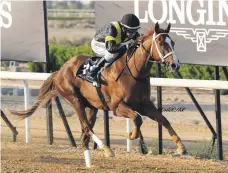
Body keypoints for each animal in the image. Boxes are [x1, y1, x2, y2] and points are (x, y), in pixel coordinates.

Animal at [9, 22, 186, 156]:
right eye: (161, 43)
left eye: (173, 43)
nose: (175, 65)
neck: (134, 72)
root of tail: (59, 71)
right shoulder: (116, 106)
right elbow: (137, 118)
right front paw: (132, 135)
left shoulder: (145, 105)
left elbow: (163, 119)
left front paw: (181, 147)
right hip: (74, 99)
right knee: (87, 127)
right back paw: (106, 148)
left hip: (91, 106)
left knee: (86, 128)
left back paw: (87, 148)